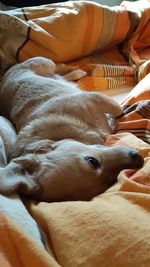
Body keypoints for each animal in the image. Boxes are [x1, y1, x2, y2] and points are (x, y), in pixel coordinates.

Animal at [0, 57, 144, 202]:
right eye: (108, 183)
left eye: (92, 161)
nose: (140, 160)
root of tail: (5, 76)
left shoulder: (94, 98)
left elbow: (118, 110)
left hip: (46, 63)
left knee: (58, 67)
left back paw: (75, 71)